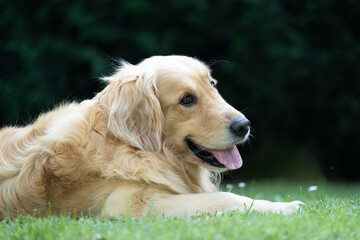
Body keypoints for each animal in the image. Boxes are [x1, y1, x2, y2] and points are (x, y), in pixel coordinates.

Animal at [0, 55, 300, 218]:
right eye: (187, 99)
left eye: (212, 85)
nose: (244, 125)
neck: (134, 147)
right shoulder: (129, 206)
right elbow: (226, 199)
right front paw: (286, 206)